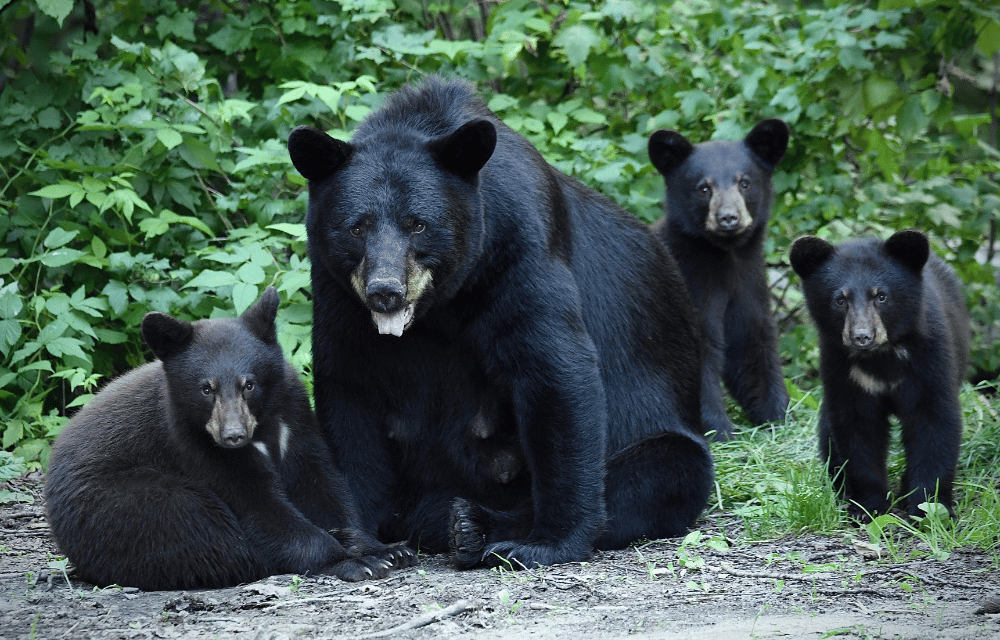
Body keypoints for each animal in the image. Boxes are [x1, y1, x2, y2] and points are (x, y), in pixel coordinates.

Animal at [45, 288, 412, 588]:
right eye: (205, 389)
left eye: (249, 384)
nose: (233, 435)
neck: (261, 428)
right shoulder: (193, 445)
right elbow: (259, 509)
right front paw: (354, 561)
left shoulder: (294, 417)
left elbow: (320, 483)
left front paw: (383, 548)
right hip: (120, 504)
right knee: (198, 530)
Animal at [286, 77, 716, 568]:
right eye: (357, 227)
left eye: (418, 224)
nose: (385, 290)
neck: (441, 303)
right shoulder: (336, 288)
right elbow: (350, 389)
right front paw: (366, 547)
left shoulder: (518, 246)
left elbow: (554, 370)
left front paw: (550, 541)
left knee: (663, 471)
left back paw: (474, 526)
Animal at [648, 119, 788, 440]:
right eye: (703, 188)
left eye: (744, 182)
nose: (728, 218)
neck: (725, 257)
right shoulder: (690, 287)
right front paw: (719, 431)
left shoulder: (748, 285)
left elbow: (751, 344)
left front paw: (779, 415)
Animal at [788, 230, 968, 520]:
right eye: (840, 299)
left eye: (881, 296)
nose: (862, 336)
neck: (881, 356)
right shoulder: (842, 368)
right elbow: (858, 429)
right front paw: (868, 507)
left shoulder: (929, 358)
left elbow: (934, 422)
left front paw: (928, 508)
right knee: (828, 434)